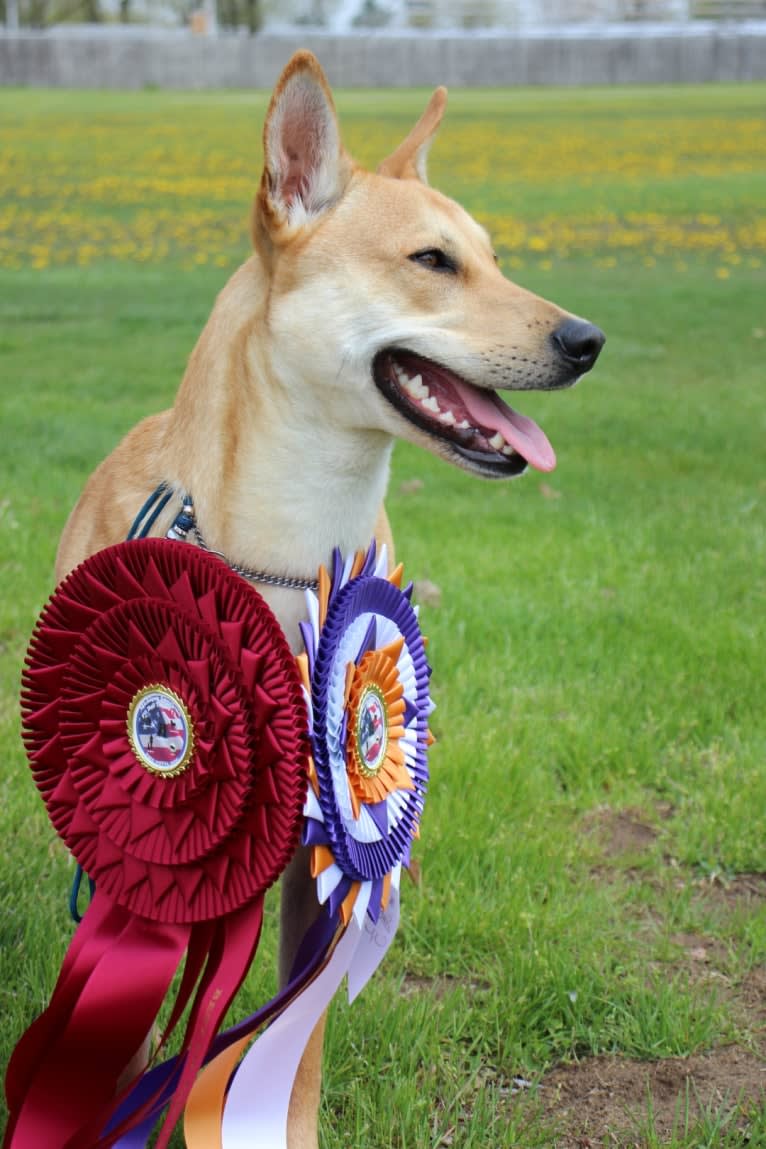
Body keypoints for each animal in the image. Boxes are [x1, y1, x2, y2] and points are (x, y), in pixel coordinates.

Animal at [53, 51, 606, 1149]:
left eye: (491, 256)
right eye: (433, 260)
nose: (587, 338)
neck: (291, 555)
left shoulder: (330, 862)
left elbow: (290, 1055)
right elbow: (128, 1037)